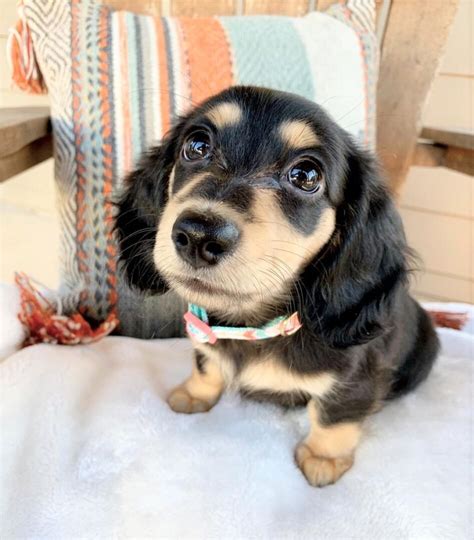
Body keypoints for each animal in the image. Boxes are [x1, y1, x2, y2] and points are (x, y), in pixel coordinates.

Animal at [115, 86, 440, 488]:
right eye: (197, 145)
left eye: (306, 175)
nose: (198, 235)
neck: (253, 326)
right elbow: (207, 363)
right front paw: (194, 393)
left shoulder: (355, 381)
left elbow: (334, 415)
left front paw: (323, 458)